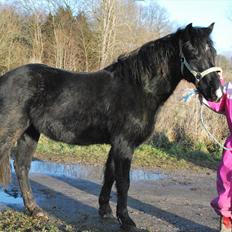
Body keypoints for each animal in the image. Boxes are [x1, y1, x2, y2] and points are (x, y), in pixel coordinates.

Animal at [0, 22, 222, 229]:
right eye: (192, 52)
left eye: (213, 52)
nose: (216, 93)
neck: (138, 88)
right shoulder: (124, 144)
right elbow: (123, 182)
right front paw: (126, 220)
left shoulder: (116, 145)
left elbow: (109, 175)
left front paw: (105, 210)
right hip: (11, 131)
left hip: (29, 132)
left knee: (22, 167)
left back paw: (34, 209)